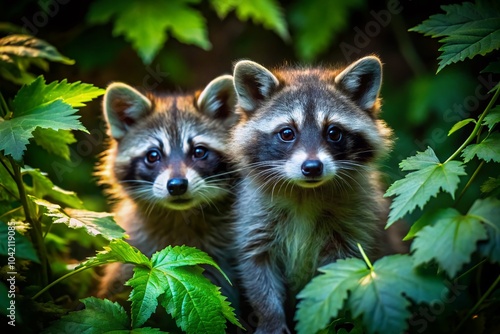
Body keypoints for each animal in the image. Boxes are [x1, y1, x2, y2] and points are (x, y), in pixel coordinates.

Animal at [229, 56, 394, 332]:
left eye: (333, 132)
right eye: (287, 133)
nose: (312, 167)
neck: (305, 192)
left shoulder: (354, 224)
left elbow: (334, 279)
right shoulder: (255, 219)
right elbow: (257, 268)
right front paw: (271, 319)